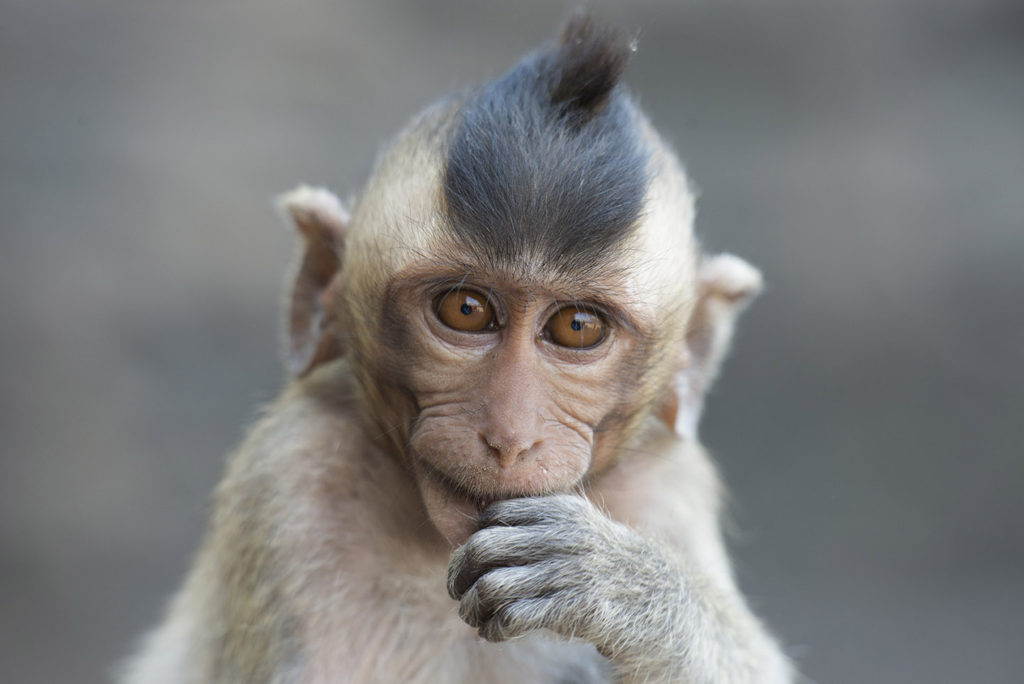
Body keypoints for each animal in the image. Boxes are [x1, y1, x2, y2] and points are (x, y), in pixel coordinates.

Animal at [119, 14, 790, 684]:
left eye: (577, 326)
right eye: (465, 311)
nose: (510, 437)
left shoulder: (668, 487)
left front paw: (615, 580)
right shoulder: (292, 477)